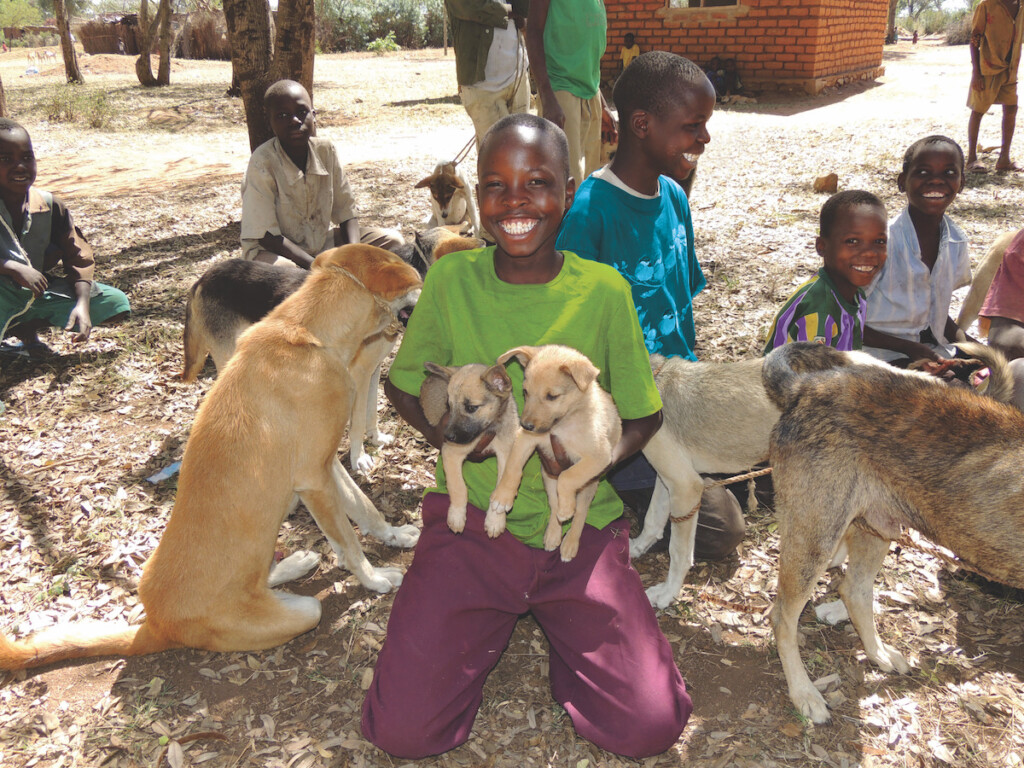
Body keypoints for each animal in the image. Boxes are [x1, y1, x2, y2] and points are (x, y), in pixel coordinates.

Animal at [0, 246, 423, 671]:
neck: (309, 337)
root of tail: (154, 627)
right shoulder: (314, 478)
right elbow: (349, 542)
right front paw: (375, 578)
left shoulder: (325, 466)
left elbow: (364, 506)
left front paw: (394, 535)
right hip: (305, 610)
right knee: (288, 597)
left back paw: (296, 562)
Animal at [485, 346, 618, 561]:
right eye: (525, 391)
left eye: (552, 396)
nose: (526, 425)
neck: (561, 425)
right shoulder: (526, 439)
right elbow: (513, 466)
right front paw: (502, 496)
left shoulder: (599, 456)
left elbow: (568, 476)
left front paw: (567, 509)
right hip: (547, 477)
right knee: (554, 505)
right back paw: (553, 534)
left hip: (590, 486)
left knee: (580, 514)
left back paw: (569, 541)